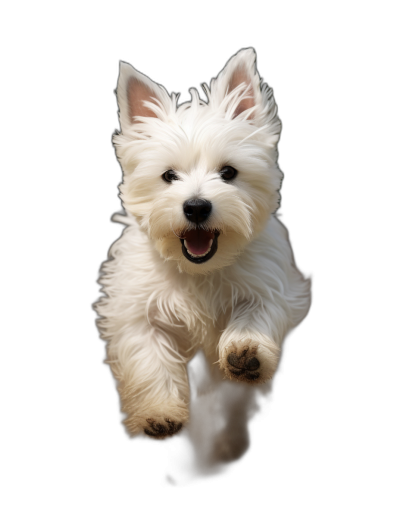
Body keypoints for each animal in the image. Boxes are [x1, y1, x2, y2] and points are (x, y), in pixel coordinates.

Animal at [95, 50, 310, 480]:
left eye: (228, 172)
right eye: (168, 175)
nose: (196, 207)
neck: (199, 270)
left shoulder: (272, 284)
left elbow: (255, 312)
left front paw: (245, 352)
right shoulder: (136, 309)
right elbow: (150, 356)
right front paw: (158, 415)